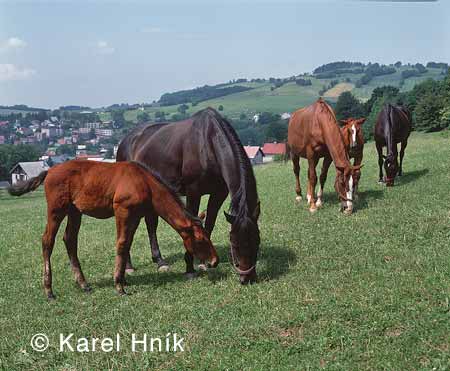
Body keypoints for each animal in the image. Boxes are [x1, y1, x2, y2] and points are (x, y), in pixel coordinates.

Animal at [7, 160, 218, 300]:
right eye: (201, 239)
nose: (214, 261)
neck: (145, 183)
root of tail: (49, 170)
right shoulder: (122, 210)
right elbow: (121, 244)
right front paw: (119, 285)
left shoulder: (135, 215)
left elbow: (127, 244)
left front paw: (123, 280)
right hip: (56, 209)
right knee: (47, 241)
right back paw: (49, 290)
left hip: (75, 211)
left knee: (70, 239)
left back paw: (83, 283)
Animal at [117, 107, 260, 284]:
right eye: (234, 243)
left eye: (257, 240)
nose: (248, 278)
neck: (208, 142)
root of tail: (125, 141)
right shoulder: (193, 192)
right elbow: (191, 223)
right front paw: (190, 268)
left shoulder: (219, 193)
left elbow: (209, 224)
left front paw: (203, 262)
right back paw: (129, 267)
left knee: (151, 224)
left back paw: (160, 261)